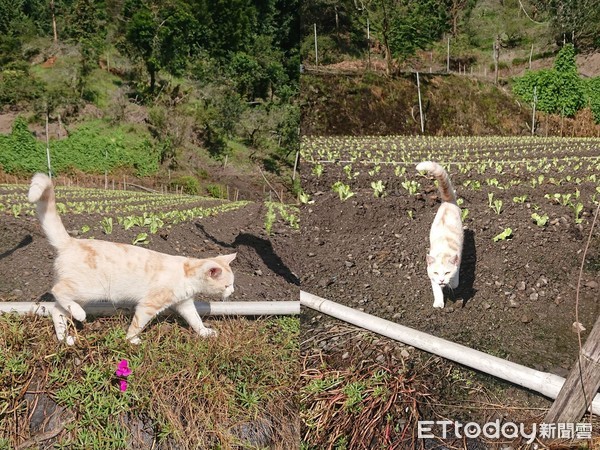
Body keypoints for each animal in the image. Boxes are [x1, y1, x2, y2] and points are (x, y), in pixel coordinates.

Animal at [27, 172, 237, 344]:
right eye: (227, 285)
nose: (233, 291)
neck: (186, 273)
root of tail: (70, 241)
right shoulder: (148, 305)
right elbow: (137, 325)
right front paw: (131, 340)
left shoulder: (184, 304)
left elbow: (196, 320)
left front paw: (204, 333)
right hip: (88, 290)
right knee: (58, 291)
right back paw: (79, 314)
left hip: (81, 295)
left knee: (57, 310)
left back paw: (64, 338)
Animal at [418, 163, 464, 310]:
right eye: (436, 273)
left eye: (447, 272)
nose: (442, 280)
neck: (444, 252)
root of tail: (448, 202)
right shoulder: (432, 277)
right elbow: (437, 290)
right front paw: (438, 303)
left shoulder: (458, 261)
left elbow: (455, 280)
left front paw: (453, 284)